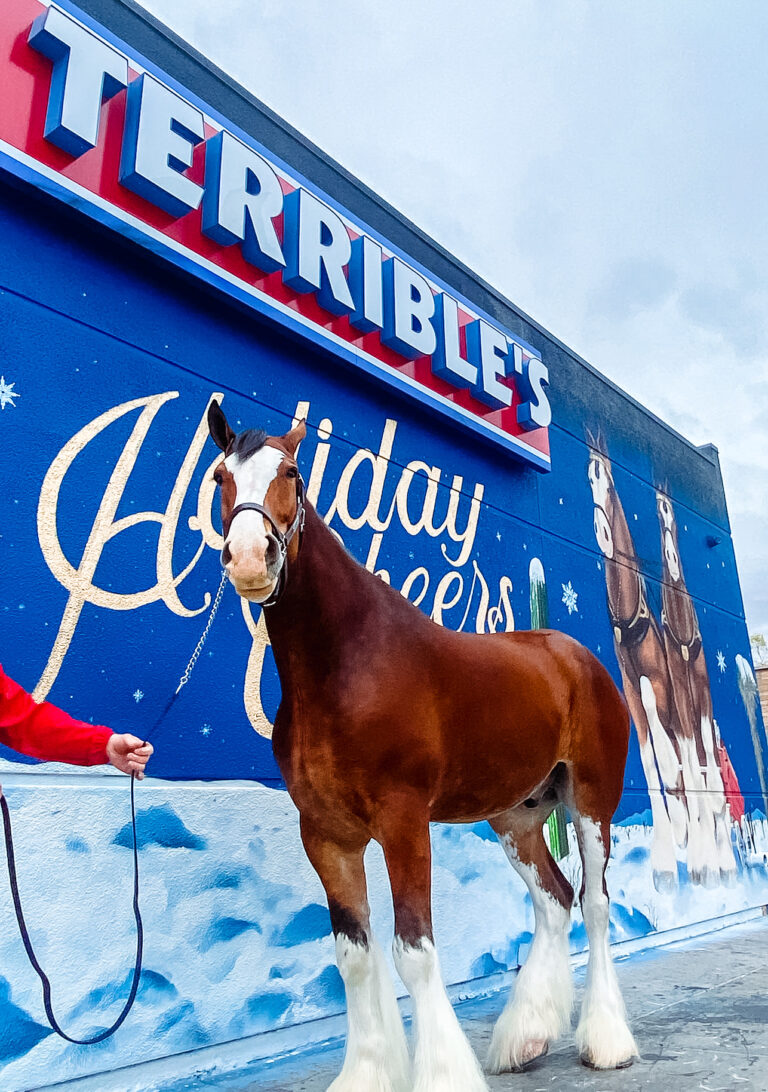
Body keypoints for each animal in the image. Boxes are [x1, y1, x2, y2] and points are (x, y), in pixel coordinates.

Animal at [208, 404, 637, 1092]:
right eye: (221, 475)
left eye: (293, 473)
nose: (250, 558)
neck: (344, 664)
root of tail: (577, 658)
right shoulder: (326, 835)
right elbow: (354, 958)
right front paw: (366, 1074)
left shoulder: (404, 822)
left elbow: (413, 949)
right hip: (515, 815)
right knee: (553, 900)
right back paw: (526, 1037)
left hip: (593, 800)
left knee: (594, 904)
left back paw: (606, 1040)